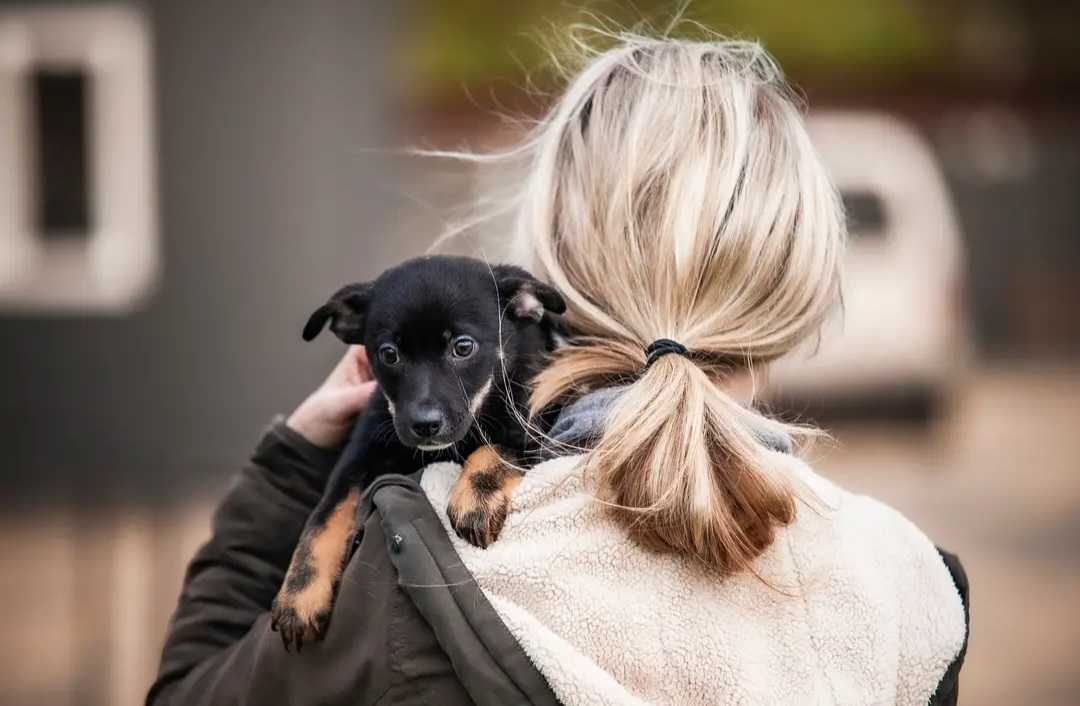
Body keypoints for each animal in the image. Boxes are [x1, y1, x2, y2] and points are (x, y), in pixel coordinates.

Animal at [270, 255, 565, 652]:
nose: (425, 424)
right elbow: (323, 519)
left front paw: (475, 501)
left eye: (463, 347)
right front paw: (298, 596)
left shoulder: (535, 428)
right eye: (389, 354)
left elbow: (497, 448)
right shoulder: (359, 456)